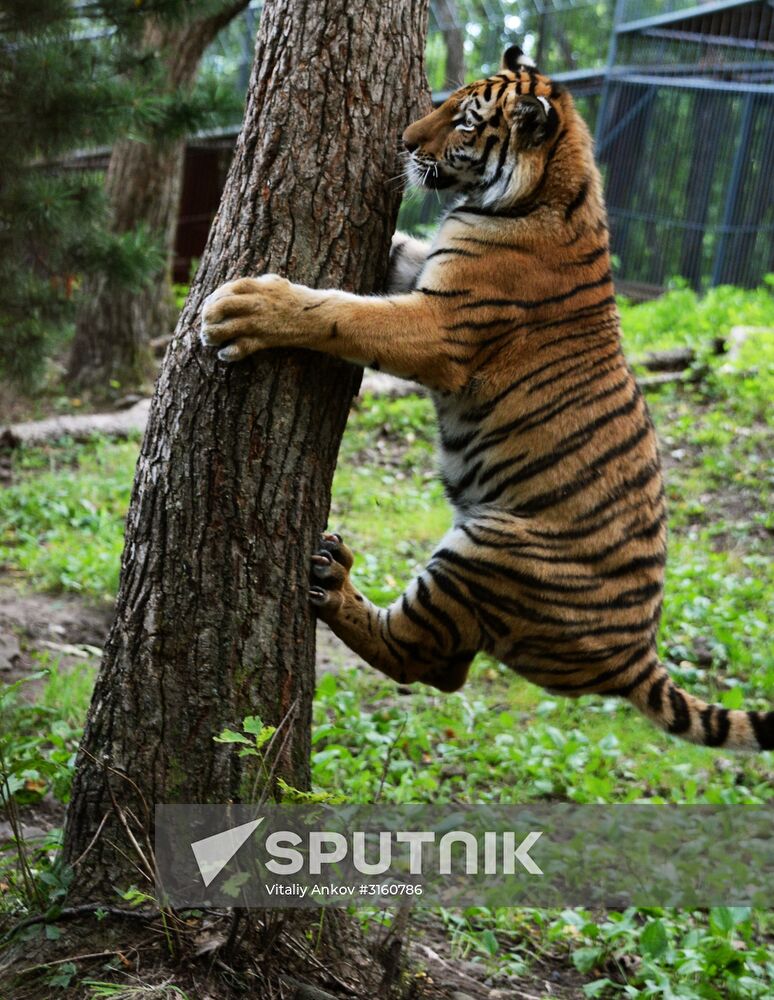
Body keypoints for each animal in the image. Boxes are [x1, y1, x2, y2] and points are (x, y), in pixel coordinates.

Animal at [200, 45, 773, 752]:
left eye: (466, 122)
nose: (403, 142)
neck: (546, 190)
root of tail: (636, 656)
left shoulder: (439, 326)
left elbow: (339, 314)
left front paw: (245, 308)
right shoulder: (417, 268)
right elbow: (383, 264)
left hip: (488, 550)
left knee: (415, 657)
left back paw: (333, 586)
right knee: (448, 670)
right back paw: (339, 566)